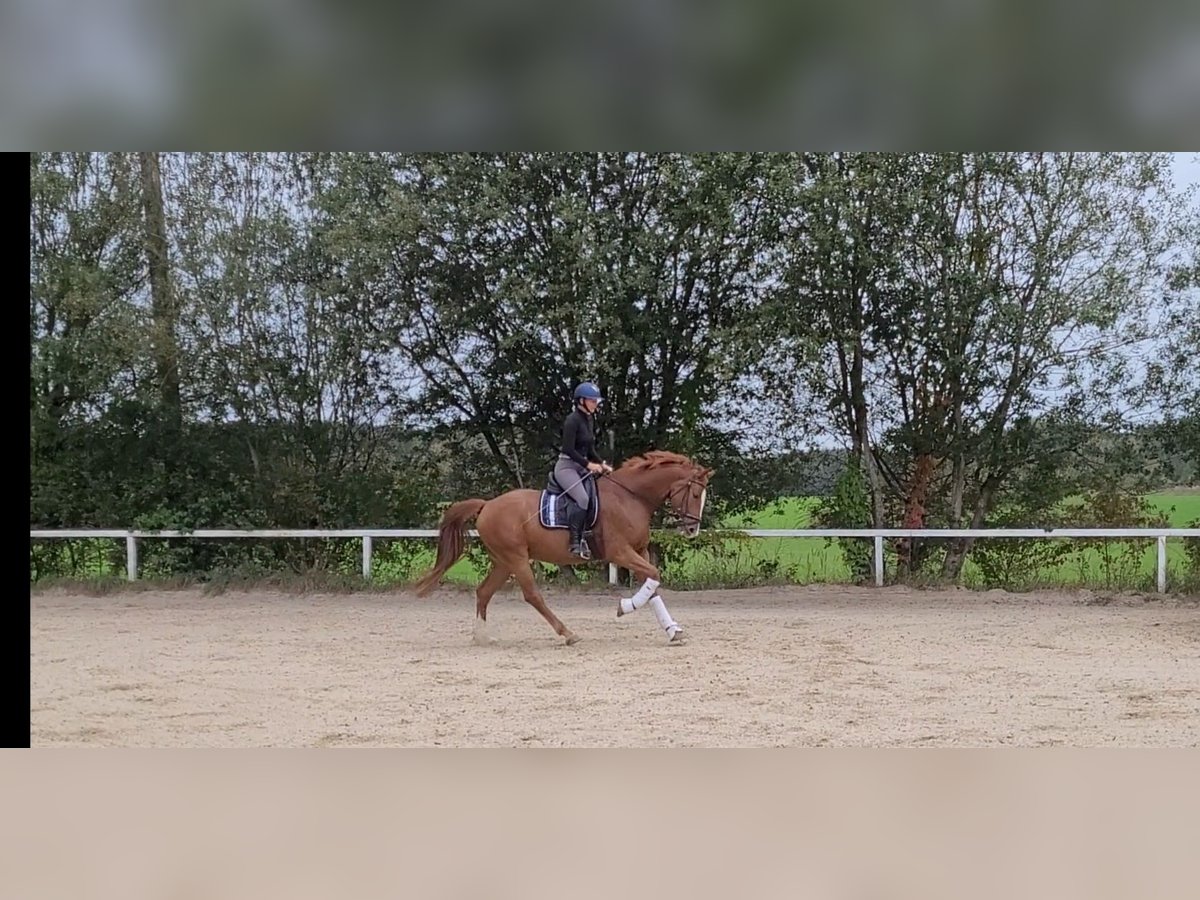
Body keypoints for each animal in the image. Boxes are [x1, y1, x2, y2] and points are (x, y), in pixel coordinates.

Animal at [412, 453, 710, 643]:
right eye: (695, 494)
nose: (692, 530)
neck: (630, 498)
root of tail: (487, 505)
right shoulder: (620, 552)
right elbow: (654, 576)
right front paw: (624, 607)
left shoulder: (639, 551)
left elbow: (653, 585)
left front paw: (673, 631)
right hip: (517, 559)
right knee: (532, 596)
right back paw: (568, 634)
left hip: (503, 562)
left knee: (484, 592)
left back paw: (482, 636)